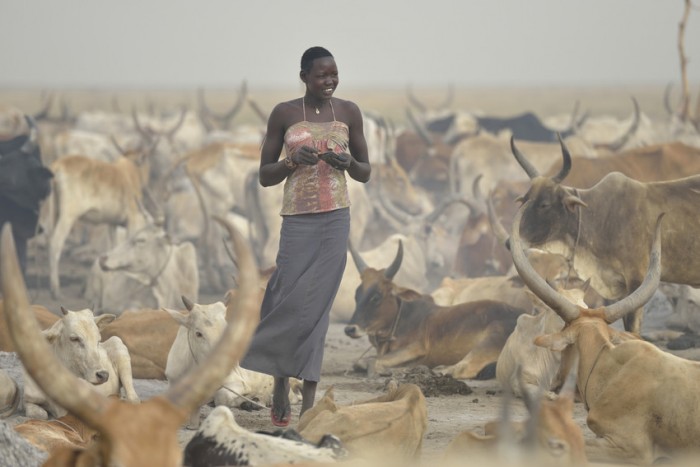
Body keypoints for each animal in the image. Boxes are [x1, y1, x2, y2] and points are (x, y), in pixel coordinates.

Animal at [0, 214, 260, 466]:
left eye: (97, 339)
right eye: (74, 338)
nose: (103, 374)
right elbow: (40, 413)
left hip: (121, 351)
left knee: (134, 396)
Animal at [344, 241, 524, 380]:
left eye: (376, 297)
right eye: (357, 294)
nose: (350, 329)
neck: (401, 318)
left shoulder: (415, 347)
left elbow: (372, 361)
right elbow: (361, 361)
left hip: (491, 339)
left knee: (462, 368)